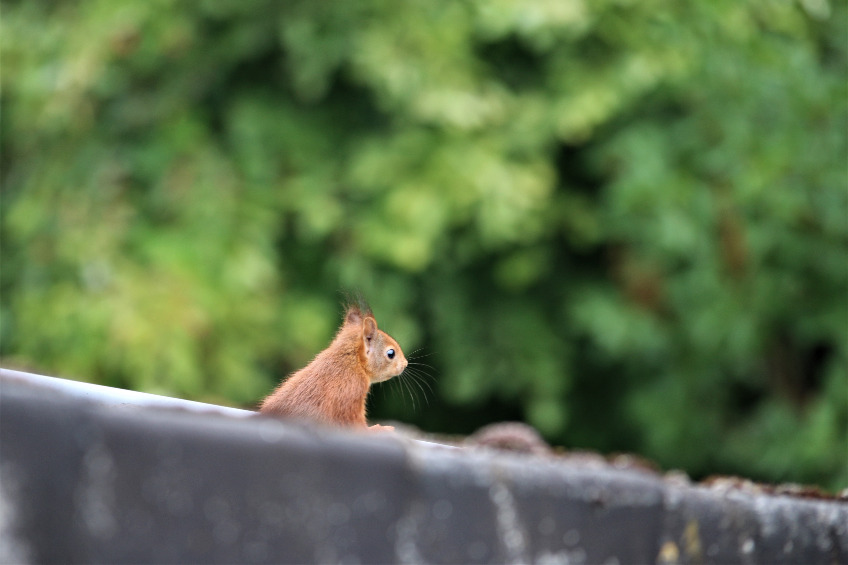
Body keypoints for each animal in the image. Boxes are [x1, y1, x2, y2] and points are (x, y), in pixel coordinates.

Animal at [260, 304, 410, 428]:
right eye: (391, 353)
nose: (405, 364)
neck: (352, 362)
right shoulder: (351, 391)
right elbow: (353, 423)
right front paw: (380, 430)